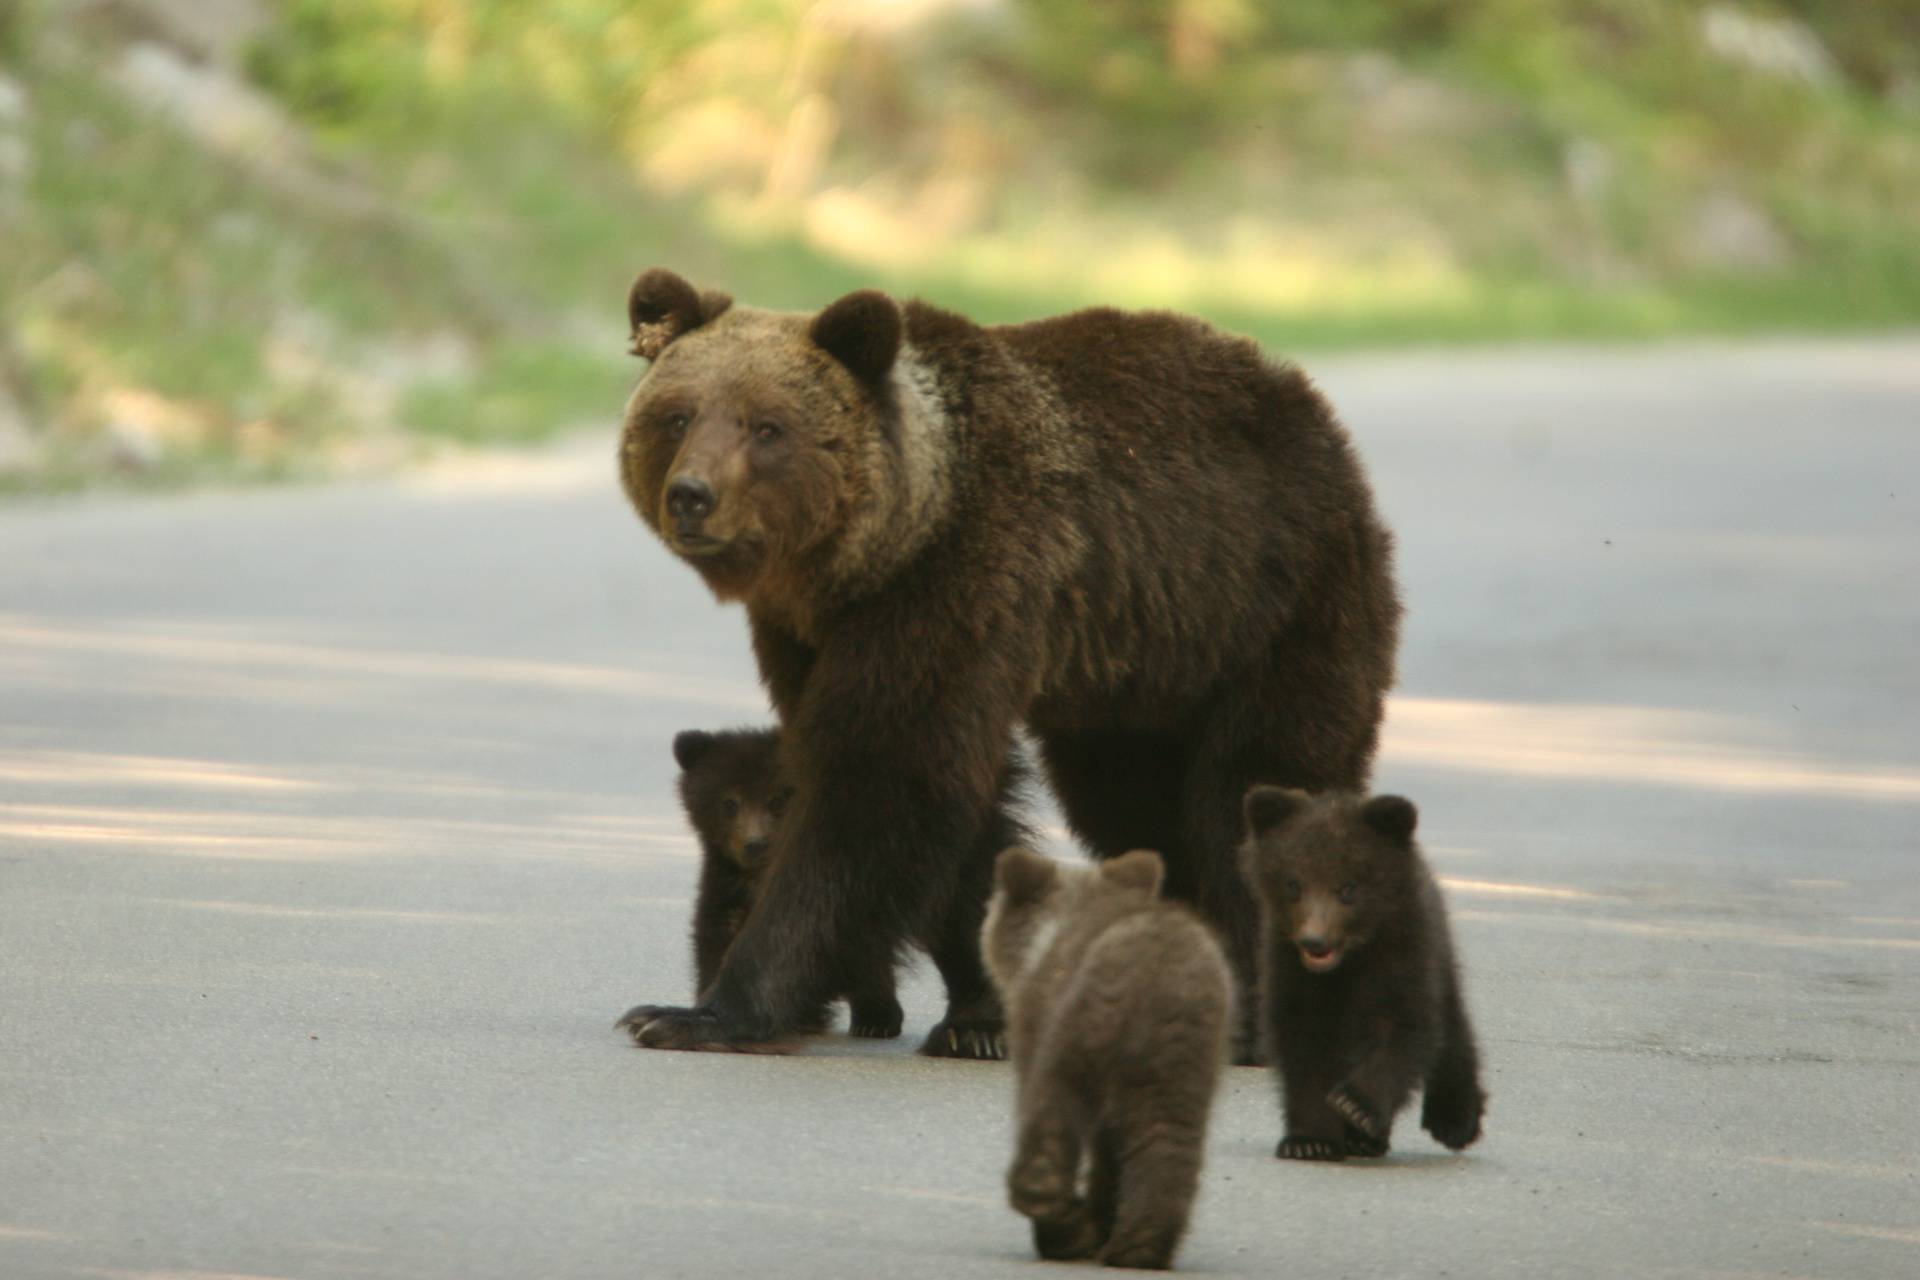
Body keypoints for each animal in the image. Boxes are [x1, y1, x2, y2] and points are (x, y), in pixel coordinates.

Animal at [614, 270, 1397, 1059]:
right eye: (678, 416)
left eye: (767, 426)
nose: (691, 496)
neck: (877, 551)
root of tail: (1307, 403)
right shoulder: (809, 636)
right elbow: (955, 811)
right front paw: (976, 1013)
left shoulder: (957, 583)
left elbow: (880, 781)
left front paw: (700, 1012)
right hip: (1138, 676)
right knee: (1138, 804)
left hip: (1274, 608)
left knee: (1258, 782)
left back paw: (1254, 1015)